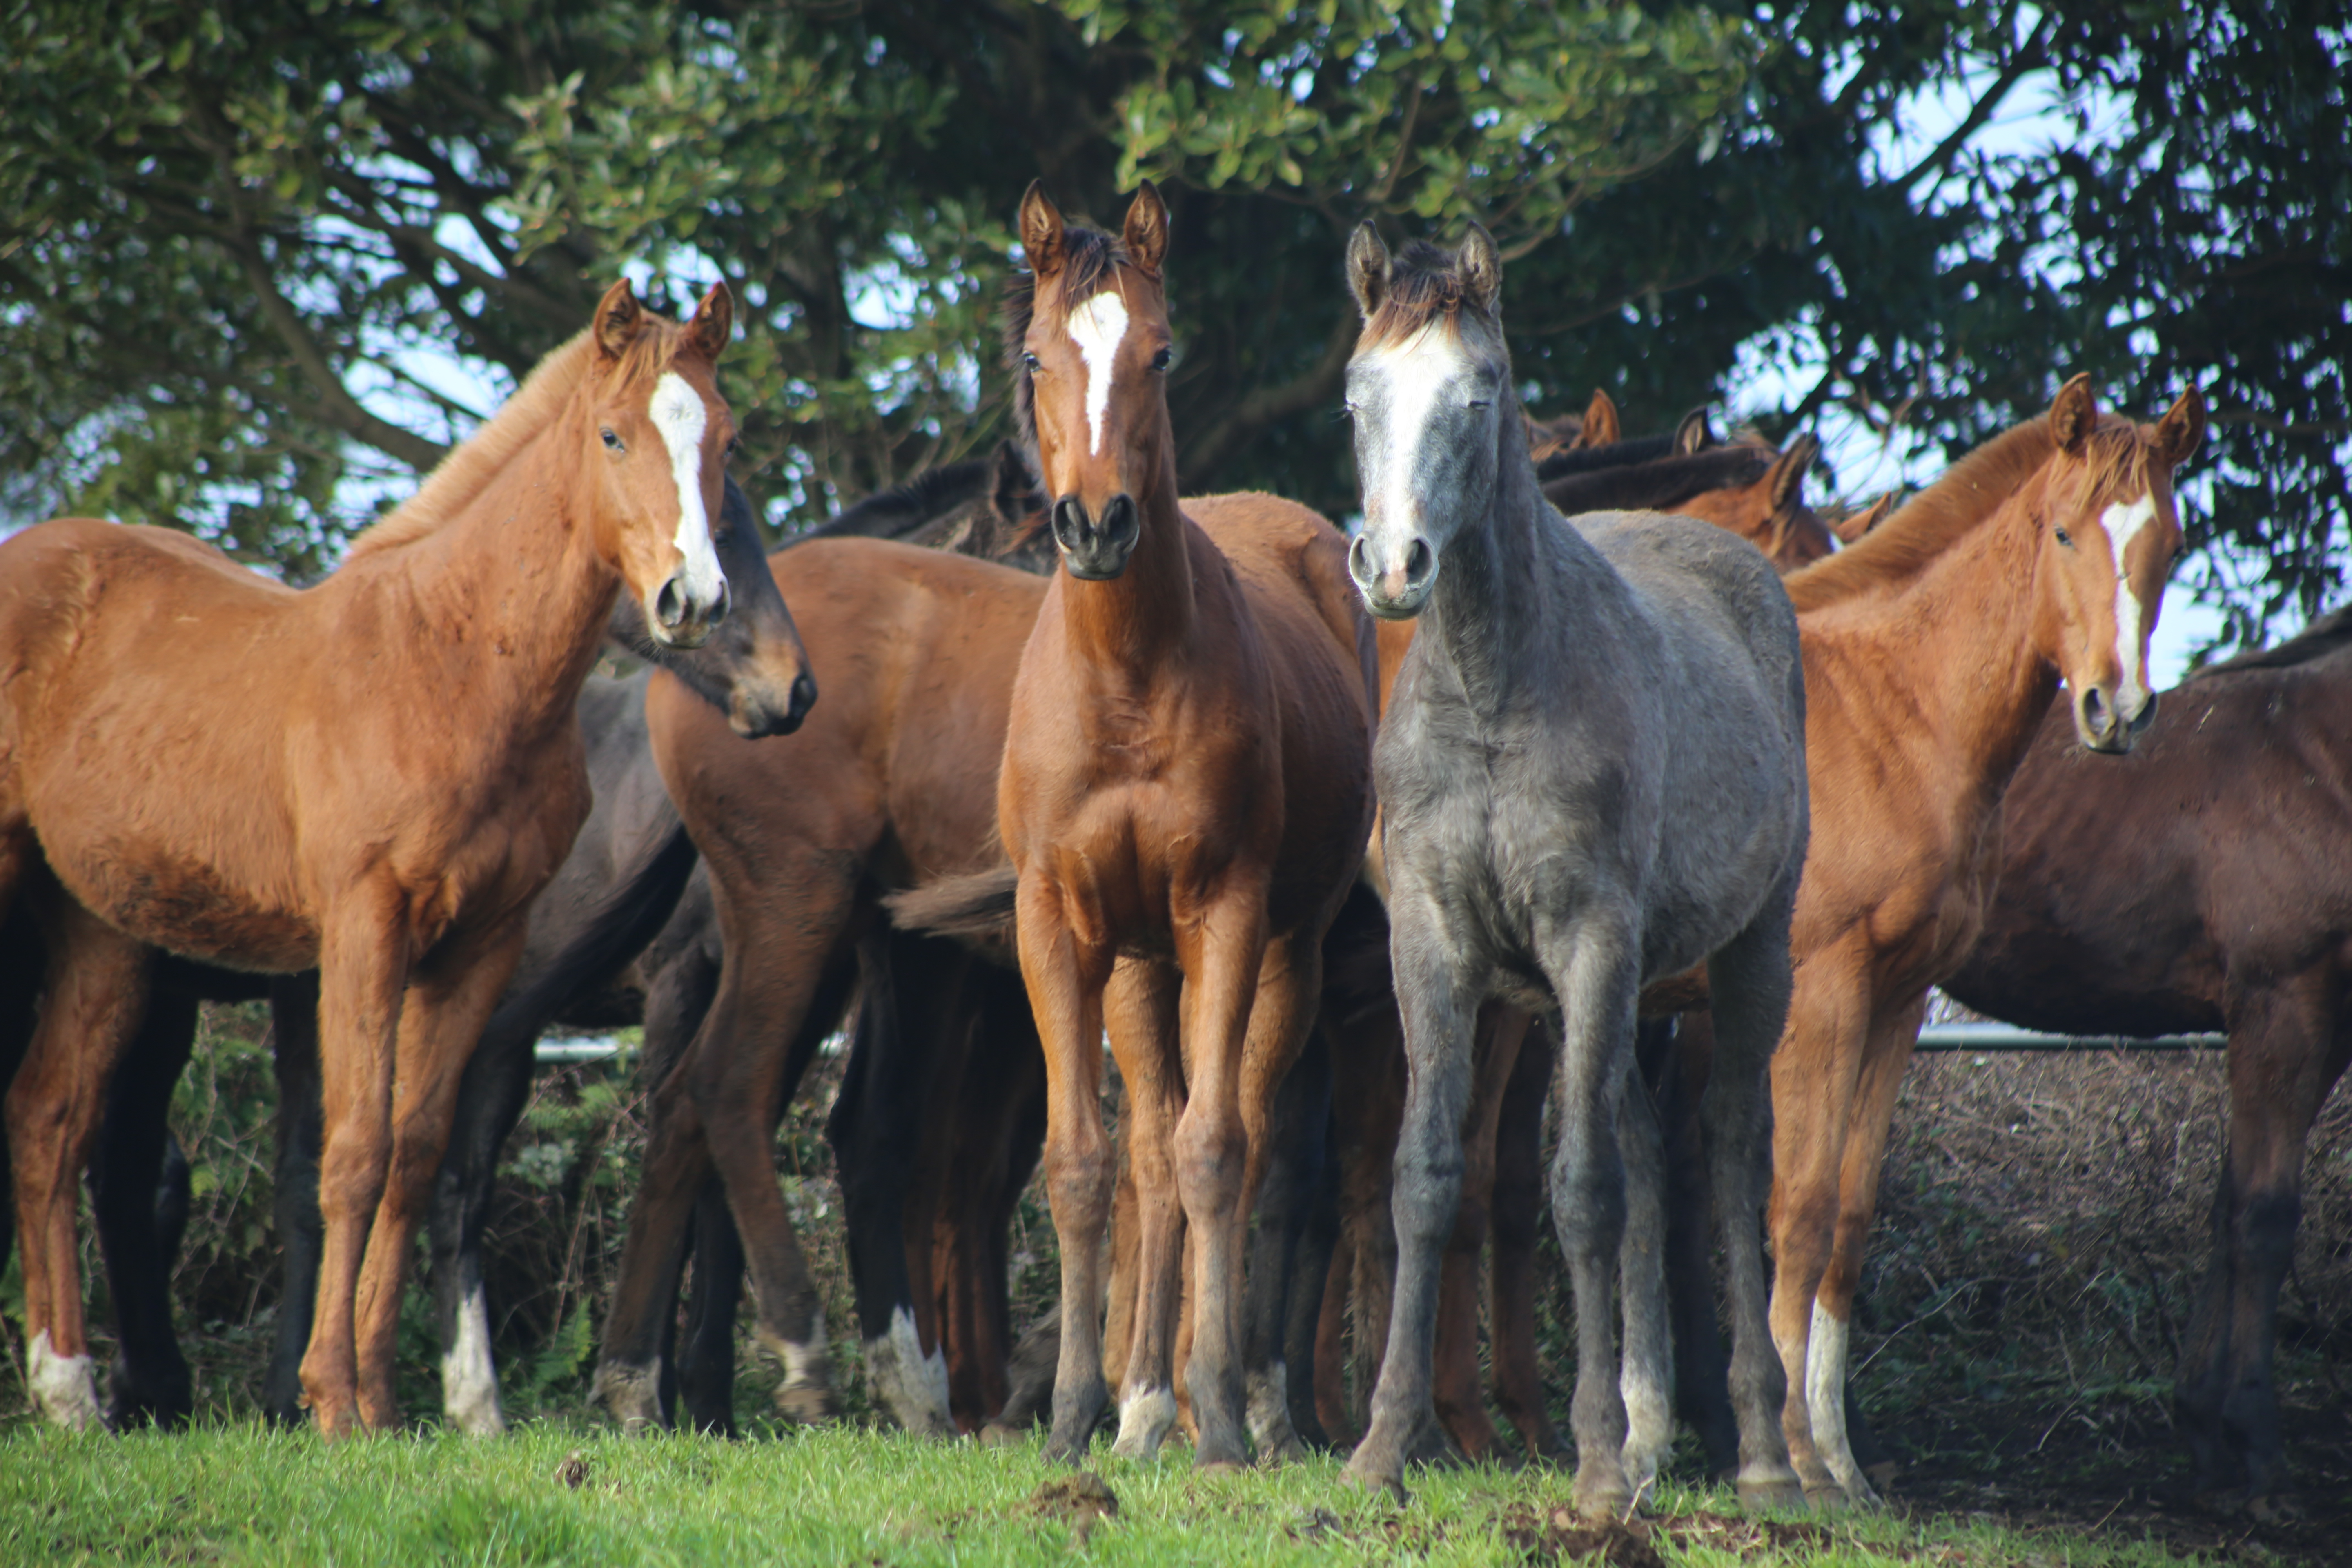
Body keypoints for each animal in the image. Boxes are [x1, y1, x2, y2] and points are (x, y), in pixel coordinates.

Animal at [0, 282, 748, 1439]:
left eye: (725, 436)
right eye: (614, 434)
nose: (693, 600)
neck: (450, 663)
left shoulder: (478, 946)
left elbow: (414, 1155)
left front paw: (388, 1403)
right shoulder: (364, 926)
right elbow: (351, 1154)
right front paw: (330, 1400)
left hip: (104, 933)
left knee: (48, 1123)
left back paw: (70, 1390)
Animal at [1336, 223, 1806, 1523]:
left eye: (1478, 392)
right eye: (1356, 394)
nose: (1393, 566)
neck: (1493, 687)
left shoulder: (1590, 939)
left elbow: (1582, 1190)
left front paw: (1593, 1464)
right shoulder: (1431, 946)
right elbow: (1425, 1178)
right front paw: (1381, 1446)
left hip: (1750, 956)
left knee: (1729, 1145)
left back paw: (1761, 1452)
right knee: (1650, 1148)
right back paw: (1656, 1440)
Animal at [1768, 371, 2201, 1504]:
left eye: (2171, 544)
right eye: (2061, 531)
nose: (2114, 707)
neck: (1879, 710)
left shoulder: (1895, 999)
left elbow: (1846, 1215)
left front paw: (1841, 1468)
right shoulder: (1817, 994)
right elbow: (1797, 1209)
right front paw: (1790, 1461)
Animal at [1938, 606, 2352, 1514]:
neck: (2318, 756)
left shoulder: (2320, 1029)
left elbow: (2228, 1210)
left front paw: (2204, 1428)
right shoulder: (2283, 1007)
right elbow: (2265, 1219)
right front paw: (2257, 1447)